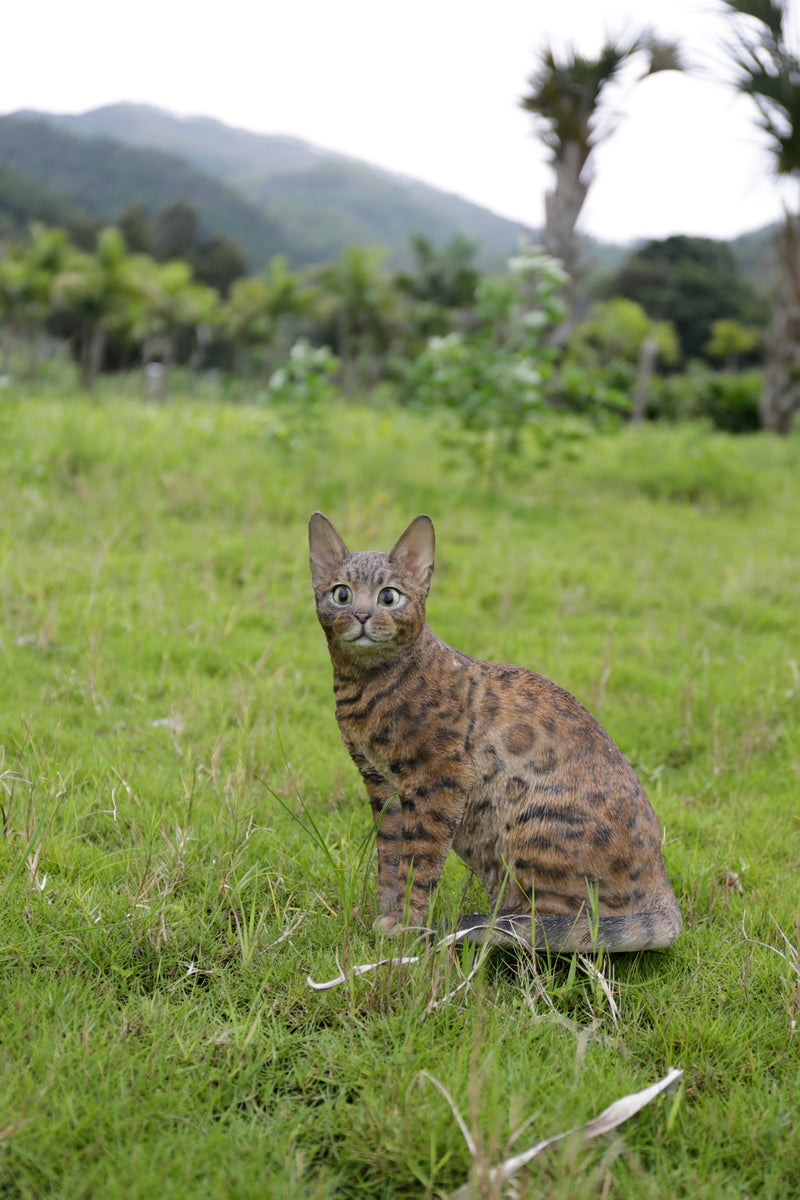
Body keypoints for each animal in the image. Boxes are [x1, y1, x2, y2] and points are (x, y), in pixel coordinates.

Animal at [307, 511, 681, 950]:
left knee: (565, 929)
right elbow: (390, 859)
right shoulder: (380, 785)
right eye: (342, 594)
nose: (363, 615)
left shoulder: (439, 782)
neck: (364, 688)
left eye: (388, 597)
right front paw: (385, 918)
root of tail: (664, 890)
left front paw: (406, 927)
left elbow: (418, 865)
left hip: (526, 825)